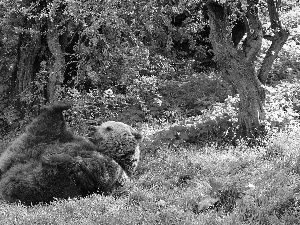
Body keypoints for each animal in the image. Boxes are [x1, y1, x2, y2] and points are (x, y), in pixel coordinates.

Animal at [0, 103, 142, 205]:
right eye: (103, 124)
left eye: (109, 128)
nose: (92, 128)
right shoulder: (75, 140)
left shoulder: (110, 170)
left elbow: (96, 172)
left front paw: (55, 158)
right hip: (35, 142)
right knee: (47, 126)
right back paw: (62, 105)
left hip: (43, 184)